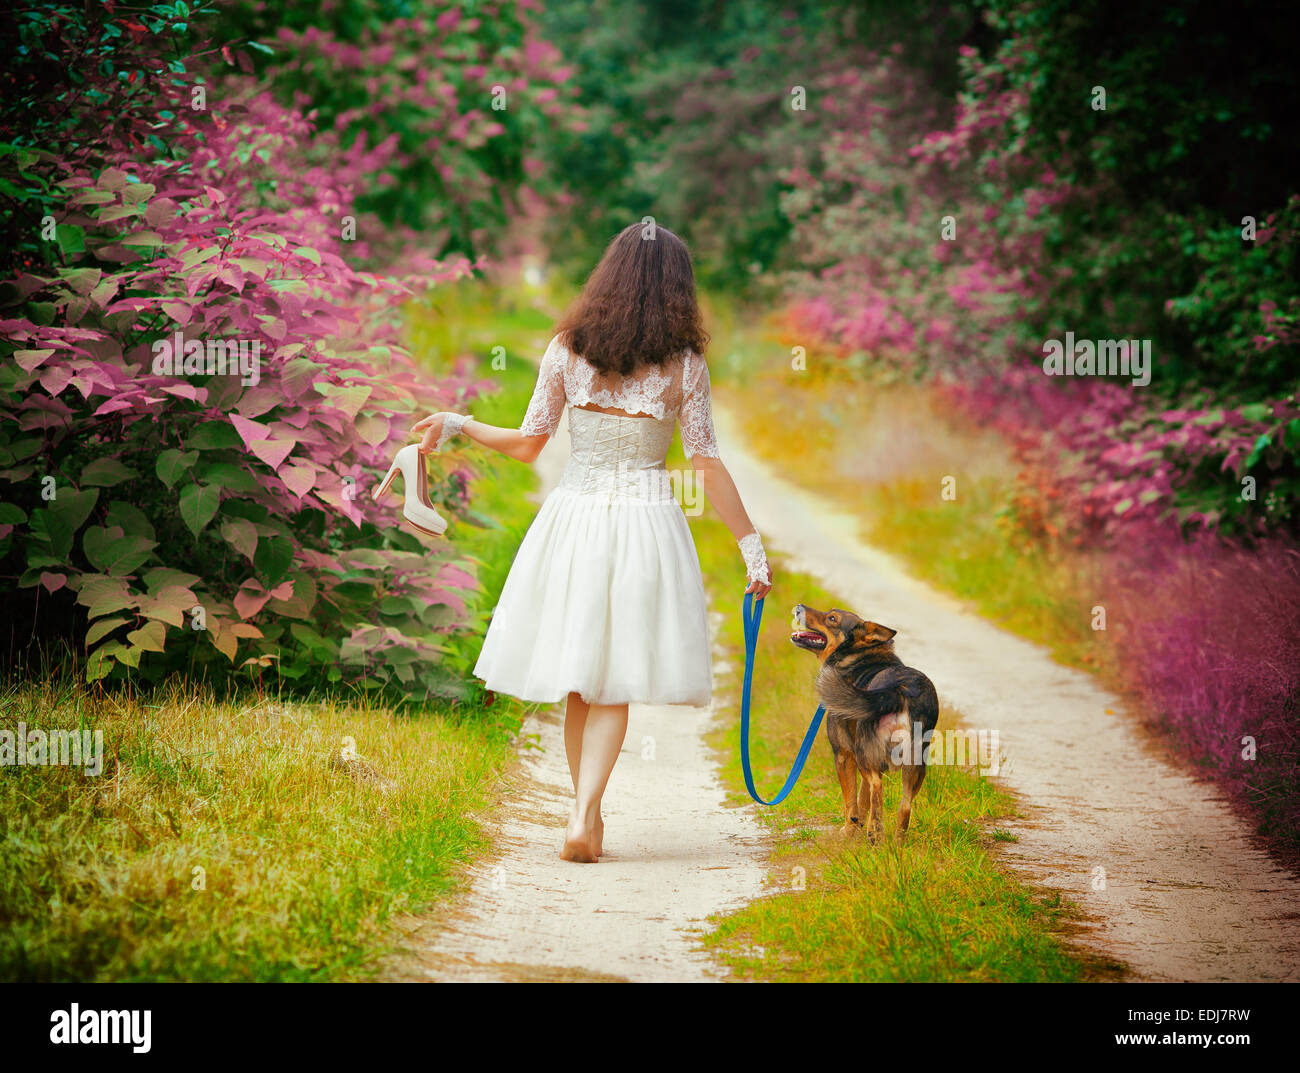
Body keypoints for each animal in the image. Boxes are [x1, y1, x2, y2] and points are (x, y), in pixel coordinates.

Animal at [790, 603, 935, 837]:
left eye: (832, 618)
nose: (799, 606)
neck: (857, 657)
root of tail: (900, 690)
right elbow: (862, 799)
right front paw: (857, 828)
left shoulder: (844, 755)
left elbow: (851, 801)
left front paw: (849, 831)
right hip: (915, 763)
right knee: (904, 806)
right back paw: (895, 841)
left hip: (863, 753)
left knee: (877, 786)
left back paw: (874, 831)